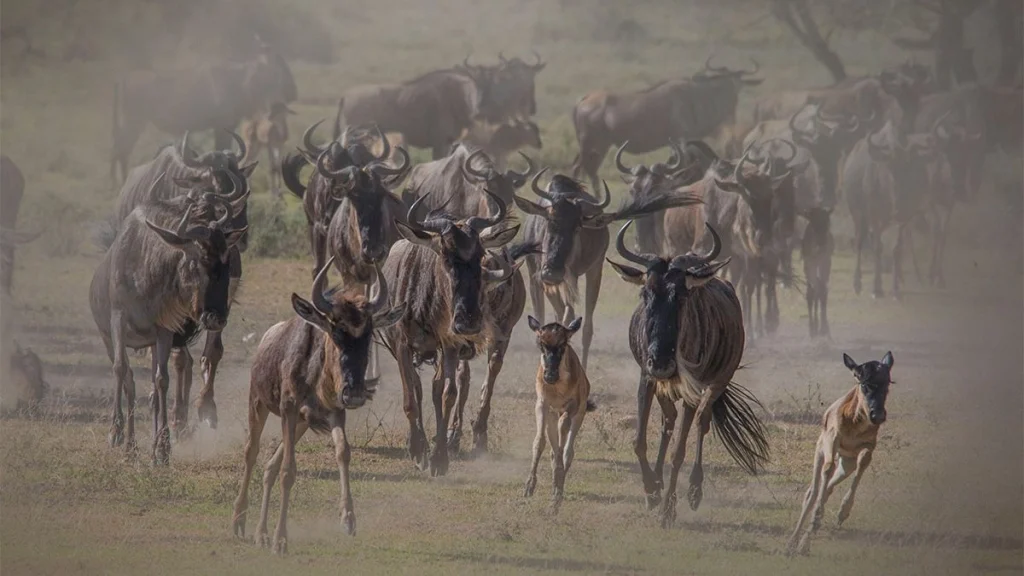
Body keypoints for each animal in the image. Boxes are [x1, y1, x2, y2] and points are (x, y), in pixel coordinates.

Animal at [524, 315, 598, 508]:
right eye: (541, 344)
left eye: (563, 344)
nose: (549, 375)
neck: (557, 388)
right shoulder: (542, 405)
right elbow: (540, 442)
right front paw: (529, 487)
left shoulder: (572, 408)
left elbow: (562, 445)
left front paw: (557, 493)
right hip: (551, 415)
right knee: (554, 449)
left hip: (579, 414)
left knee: (567, 451)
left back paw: (559, 490)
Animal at [786, 348, 892, 553]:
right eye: (862, 381)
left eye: (888, 382)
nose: (877, 415)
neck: (855, 422)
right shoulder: (832, 440)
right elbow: (827, 469)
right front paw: (804, 541)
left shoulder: (869, 446)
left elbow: (863, 463)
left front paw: (842, 513)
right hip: (820, 451)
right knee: (812, 491)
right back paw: (793, 541)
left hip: (846, 462)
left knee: (829, 486)